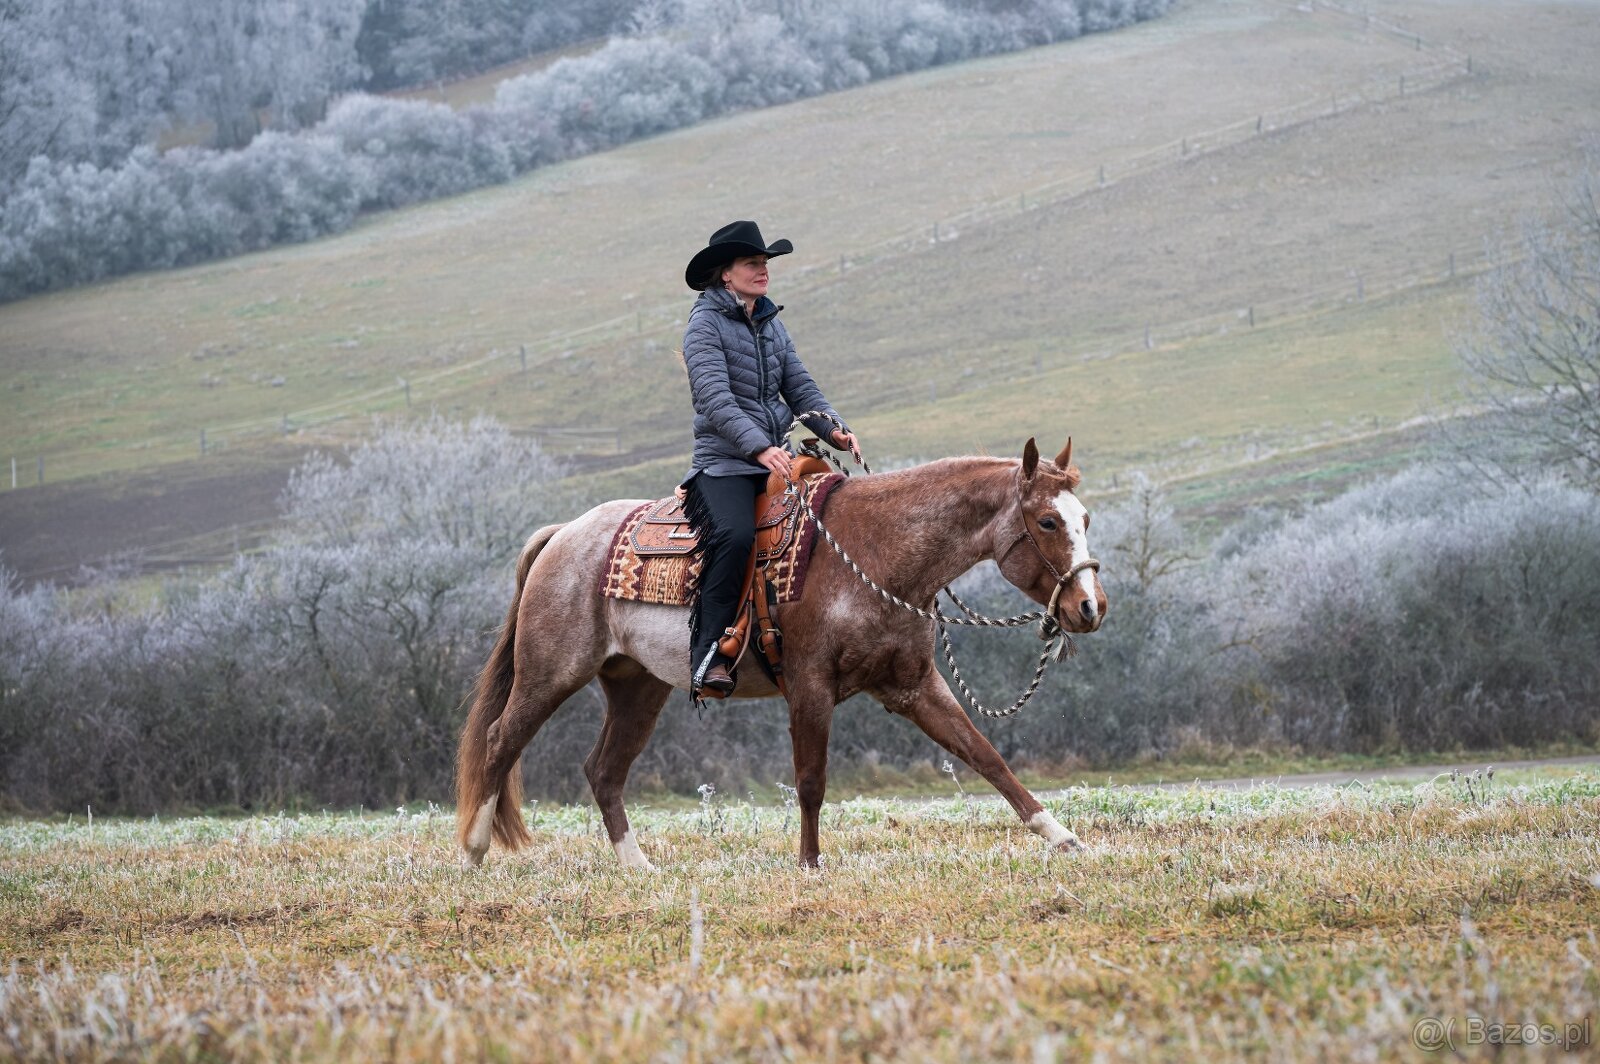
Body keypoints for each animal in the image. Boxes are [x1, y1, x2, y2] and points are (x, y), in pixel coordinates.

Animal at [455, 436, 1107, 869]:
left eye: (1085, 517)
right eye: (1048, 521)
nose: (1090, 607)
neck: (874, 552)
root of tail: (562, 535)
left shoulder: (913, 686)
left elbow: (987, 757)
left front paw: (1062, 836)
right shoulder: (810, 686)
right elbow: (811, 780)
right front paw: (809, 865)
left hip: (638, 687)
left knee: (604, 770)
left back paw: (637, 868)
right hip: (550, 674)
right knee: (501, 740)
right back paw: (475, 852)